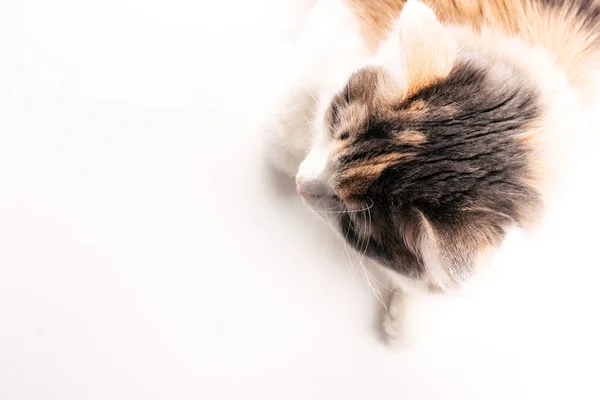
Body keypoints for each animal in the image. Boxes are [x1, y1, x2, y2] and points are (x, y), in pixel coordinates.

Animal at [262, 0, 600, 346]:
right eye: (340, 130)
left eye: (351, 222)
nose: (300, 185)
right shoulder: (342, 22)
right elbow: (292, 115)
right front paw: (287, 149)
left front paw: (405, 321)